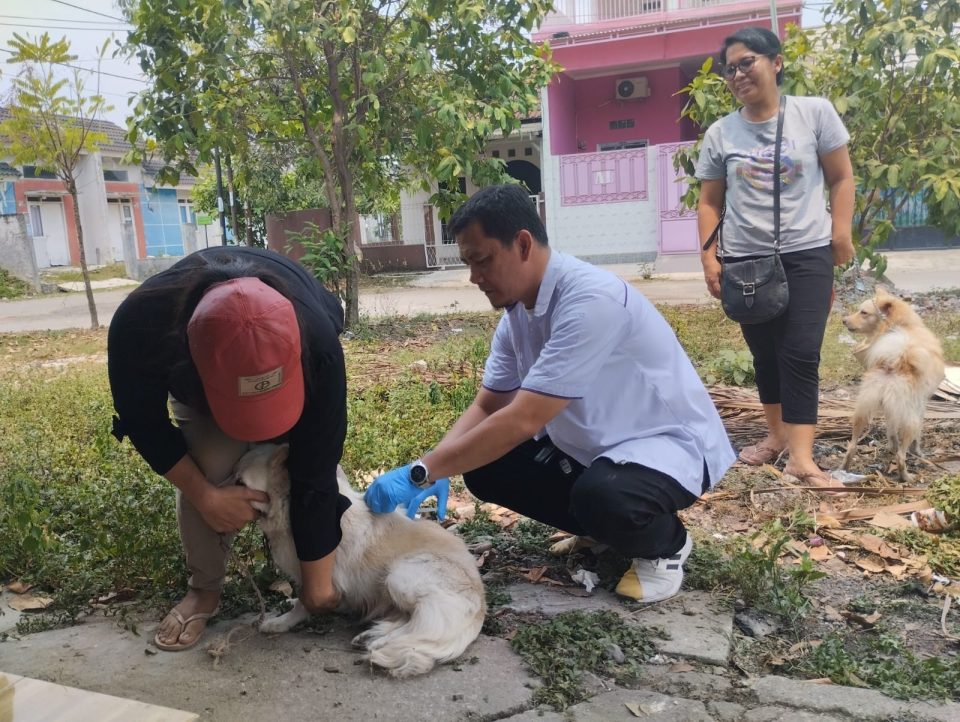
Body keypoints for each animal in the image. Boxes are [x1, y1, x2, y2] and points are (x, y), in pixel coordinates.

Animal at [233, 442, 488, 676]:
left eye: (240, 483)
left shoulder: (320, 578)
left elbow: (305, 602)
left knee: (418, 625)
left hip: (399, 575)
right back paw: (372, 636)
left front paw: (281, 622)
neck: (291, 508)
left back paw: (379, 642)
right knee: (408, 620)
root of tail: (481, 602)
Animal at [840, 284, 944, 480]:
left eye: (863, 312)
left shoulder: (890, 410)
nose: (844, 320)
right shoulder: (920, 405)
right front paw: (918, 451)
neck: (902, 326)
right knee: (901, 456)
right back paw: (906, 477)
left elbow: (891, 431)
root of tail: (894, 361)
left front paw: (892, 445)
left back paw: (845, 468)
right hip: (910, 419)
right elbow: (918, 434)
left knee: (852, 446)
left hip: (864, 409)